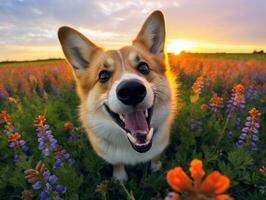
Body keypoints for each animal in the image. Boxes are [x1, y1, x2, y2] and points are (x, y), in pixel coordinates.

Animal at [58, 10, 177, 180]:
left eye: (144, 67)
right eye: (103, 76)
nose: (132, 90)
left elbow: (155, 157)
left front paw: (156, 168)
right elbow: (117, 164)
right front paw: (120, 178)